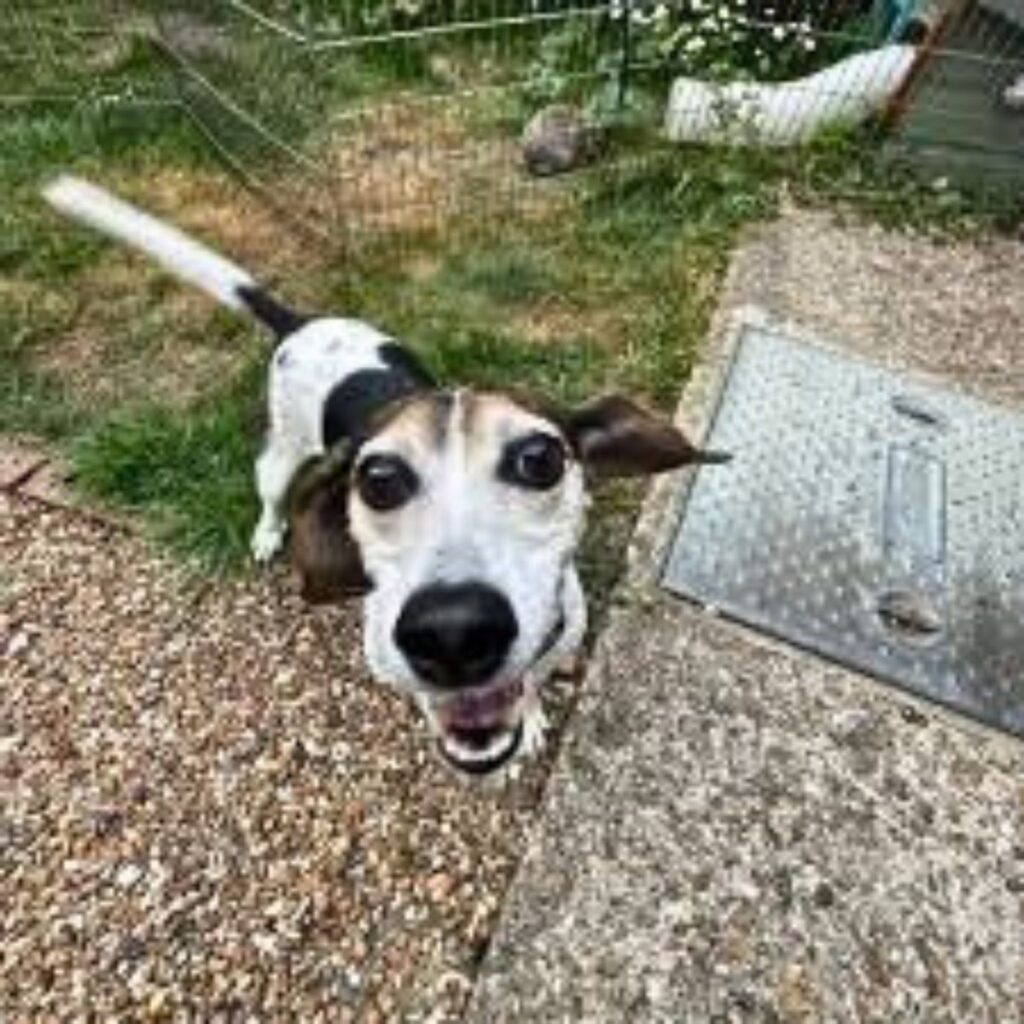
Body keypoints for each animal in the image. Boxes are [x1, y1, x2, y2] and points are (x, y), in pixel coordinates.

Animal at [41, 178, 729, 774]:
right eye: (377, 478)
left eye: (540, 459)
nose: (453, 632)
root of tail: (300, 322)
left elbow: (530, 683)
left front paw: (530, 718)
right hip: (282, 453)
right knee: (270, 490)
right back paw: (266, 534)